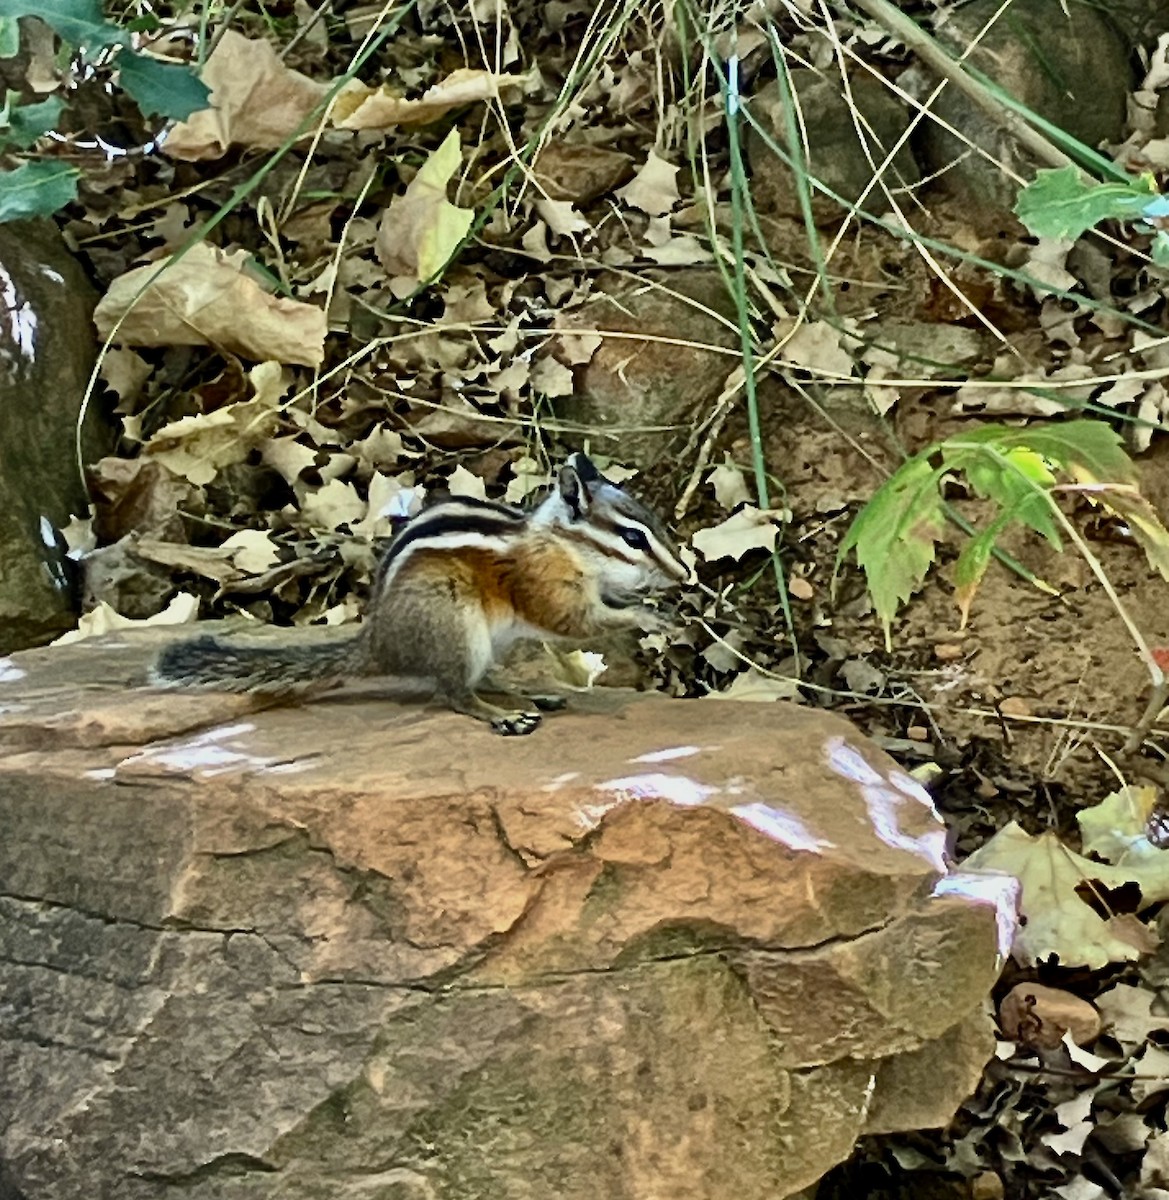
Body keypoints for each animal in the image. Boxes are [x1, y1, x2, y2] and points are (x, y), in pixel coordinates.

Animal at [151, 453, 687, 735]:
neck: (558, 545)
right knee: (452, 692)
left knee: (477, 679)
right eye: (633, 538)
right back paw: (501, 715)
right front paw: (649, 618)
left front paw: (653, 608)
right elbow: (574, 623)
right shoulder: (543, 588)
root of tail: (377, 642)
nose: (685, 575)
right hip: (454, 623)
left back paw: (528, 693)